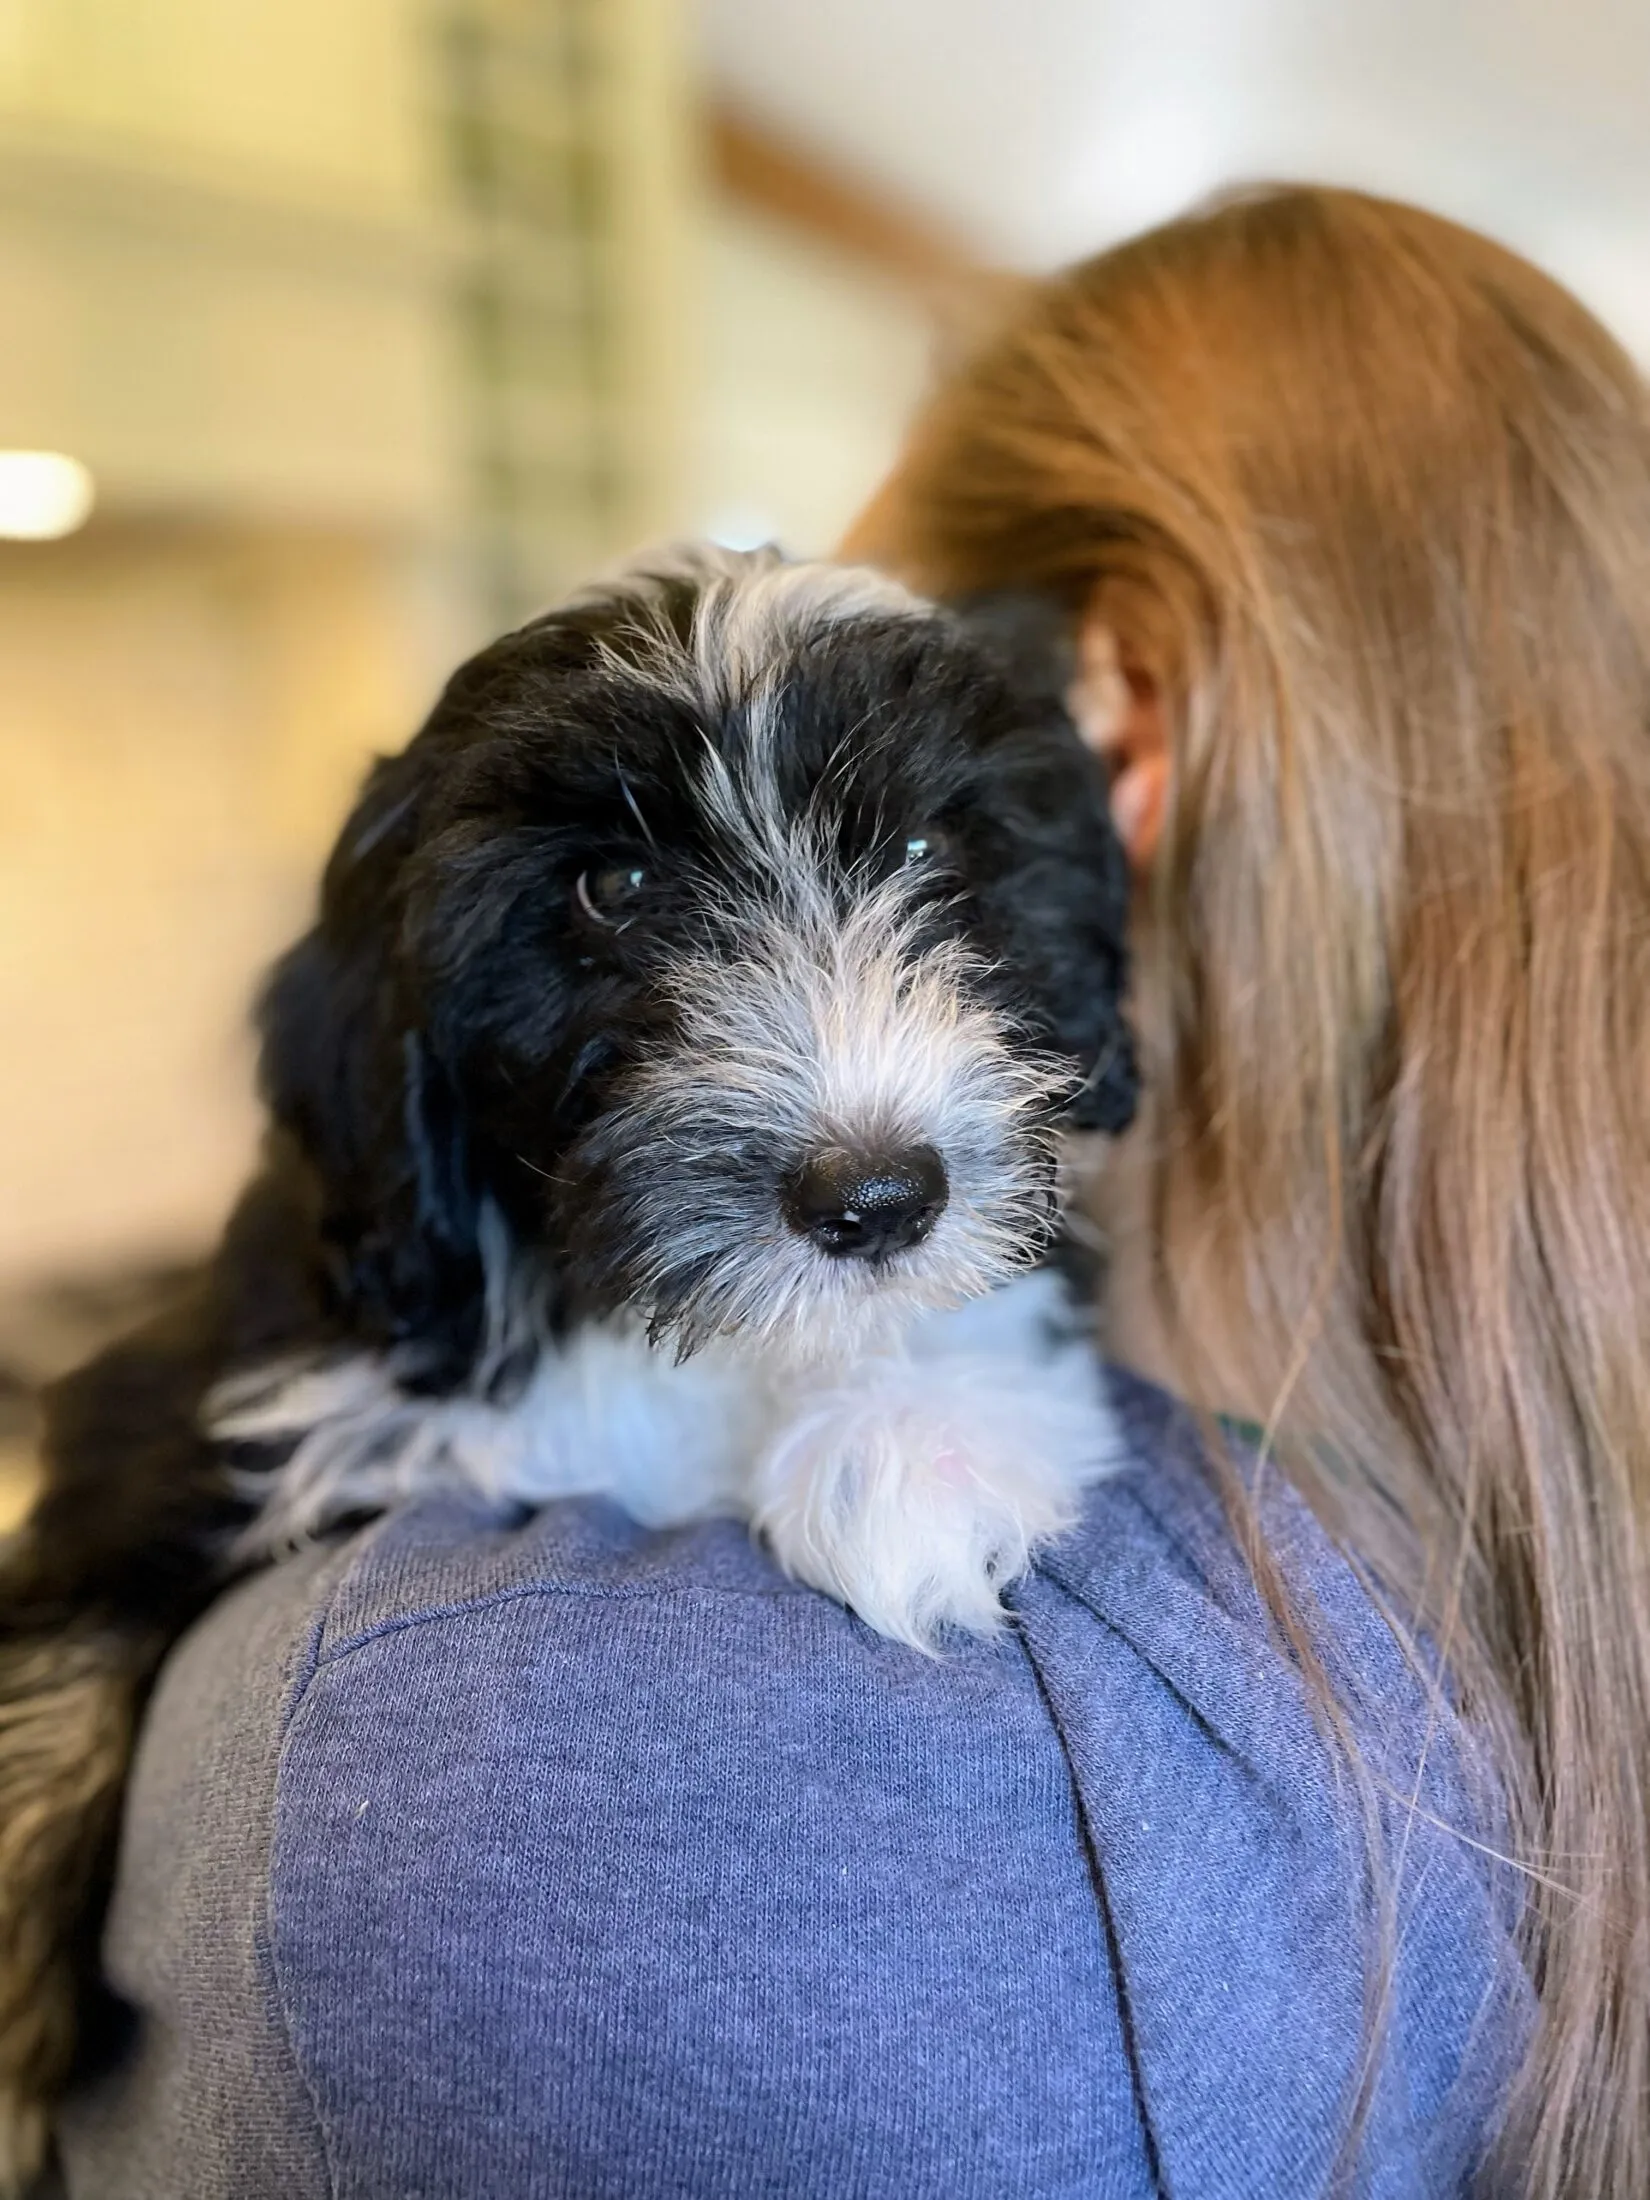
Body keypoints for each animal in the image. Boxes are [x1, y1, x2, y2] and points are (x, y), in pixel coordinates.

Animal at [0, 543, 1136, 2187]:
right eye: (616, 888)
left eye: (932, 843)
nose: (874, 1199)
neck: (629, 1304)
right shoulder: (190, 1409)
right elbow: (47, 1697)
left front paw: (909, 1455)